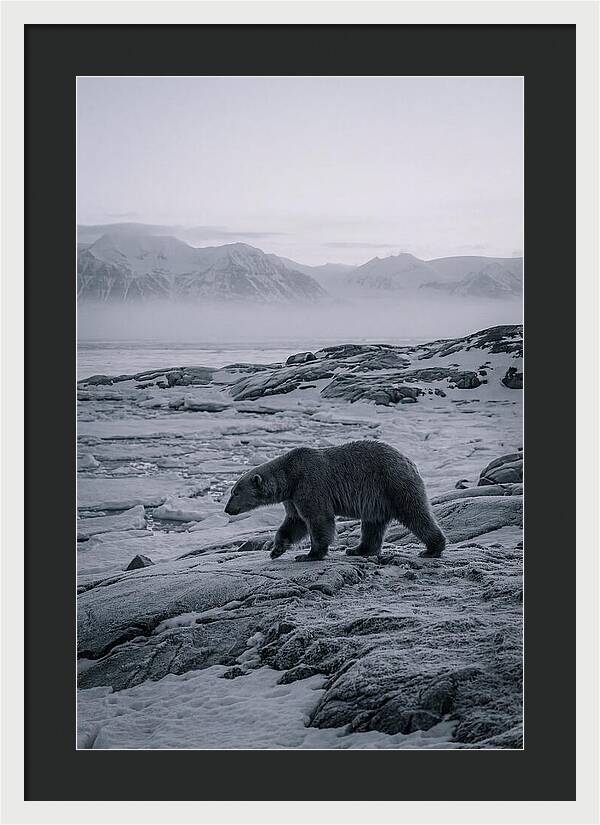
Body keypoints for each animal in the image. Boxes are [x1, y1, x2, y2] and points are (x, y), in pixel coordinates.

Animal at [223, 440, 445, 562]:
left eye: (235, 493)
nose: (227, 509)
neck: (290, 475)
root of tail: (409, 461)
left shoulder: (310, 483)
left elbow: (318, 518)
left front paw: (309, 554)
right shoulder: (293, 497)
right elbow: (295, 522)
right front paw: (276, 549)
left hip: (393, 483)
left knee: (415, 513)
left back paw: (432, 548)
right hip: (377, 499)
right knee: (373, 524)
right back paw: (357, 549)